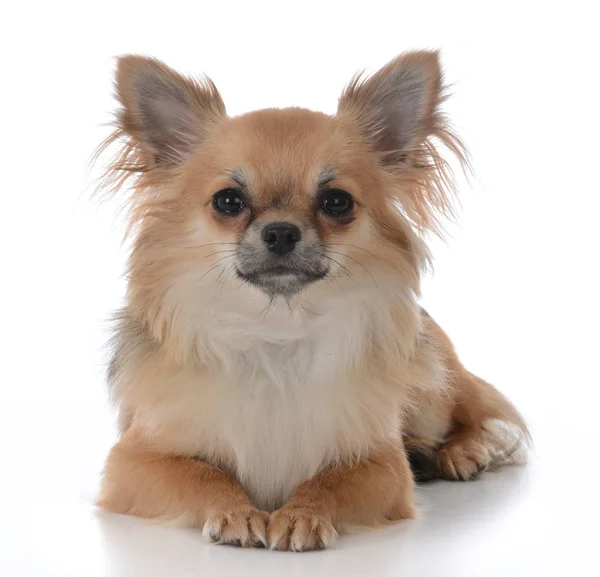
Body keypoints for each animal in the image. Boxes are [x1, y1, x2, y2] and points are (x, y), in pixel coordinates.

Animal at [97, 51, 528, 552]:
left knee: (471, 412)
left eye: (336, 201)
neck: (279, 331)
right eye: (228, 201)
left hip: (432, 396)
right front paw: (235, 510)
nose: (281, 231)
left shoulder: (382, 464)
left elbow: (330, 481)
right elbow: (202, 474)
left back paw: (461, 453)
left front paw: (302, 513)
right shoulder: (133, 459)